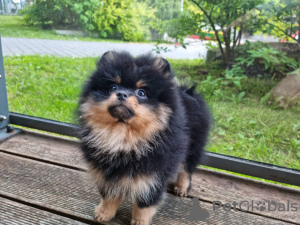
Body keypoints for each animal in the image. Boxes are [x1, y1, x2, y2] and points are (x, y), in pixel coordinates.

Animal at [79, 51, 211, 225]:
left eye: (141, 92)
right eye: (113, 87)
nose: (121, 94)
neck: (123, 137)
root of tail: (187, 92)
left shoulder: (153, 175)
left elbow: (145, 203)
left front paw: (139, 221)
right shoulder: (107, 170)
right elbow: (110, 194)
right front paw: (104, 212)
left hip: (193, 147)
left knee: (186, 169)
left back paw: (181, 188)